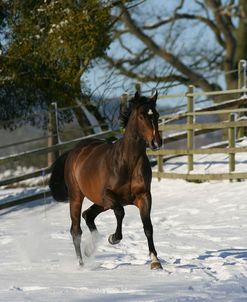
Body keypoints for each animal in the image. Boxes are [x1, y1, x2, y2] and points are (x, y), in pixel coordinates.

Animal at [49, 91, 163, 270]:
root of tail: (74, 151)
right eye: (142, 116)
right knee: (76, 230)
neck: (127, 163)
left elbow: (148, 227)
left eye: (156, 115)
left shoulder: (144, 196)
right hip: (77, 197)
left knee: (88, 215)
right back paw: (81, 264)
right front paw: (113, 238)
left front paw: (155, 261)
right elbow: (120, 212)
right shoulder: (108, 195)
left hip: (100, 202)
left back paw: (90, 249)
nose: (156, 142)